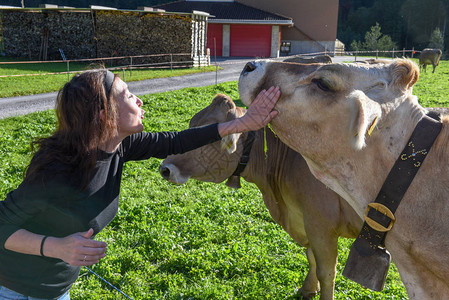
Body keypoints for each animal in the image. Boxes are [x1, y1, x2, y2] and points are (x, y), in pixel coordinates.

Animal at [159, 95, 362, 300]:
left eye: (210, 136)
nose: (164, 169)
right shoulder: (305, 219)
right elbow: (310, 255)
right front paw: (308, 289)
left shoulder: (320, 224)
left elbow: (326, 273)